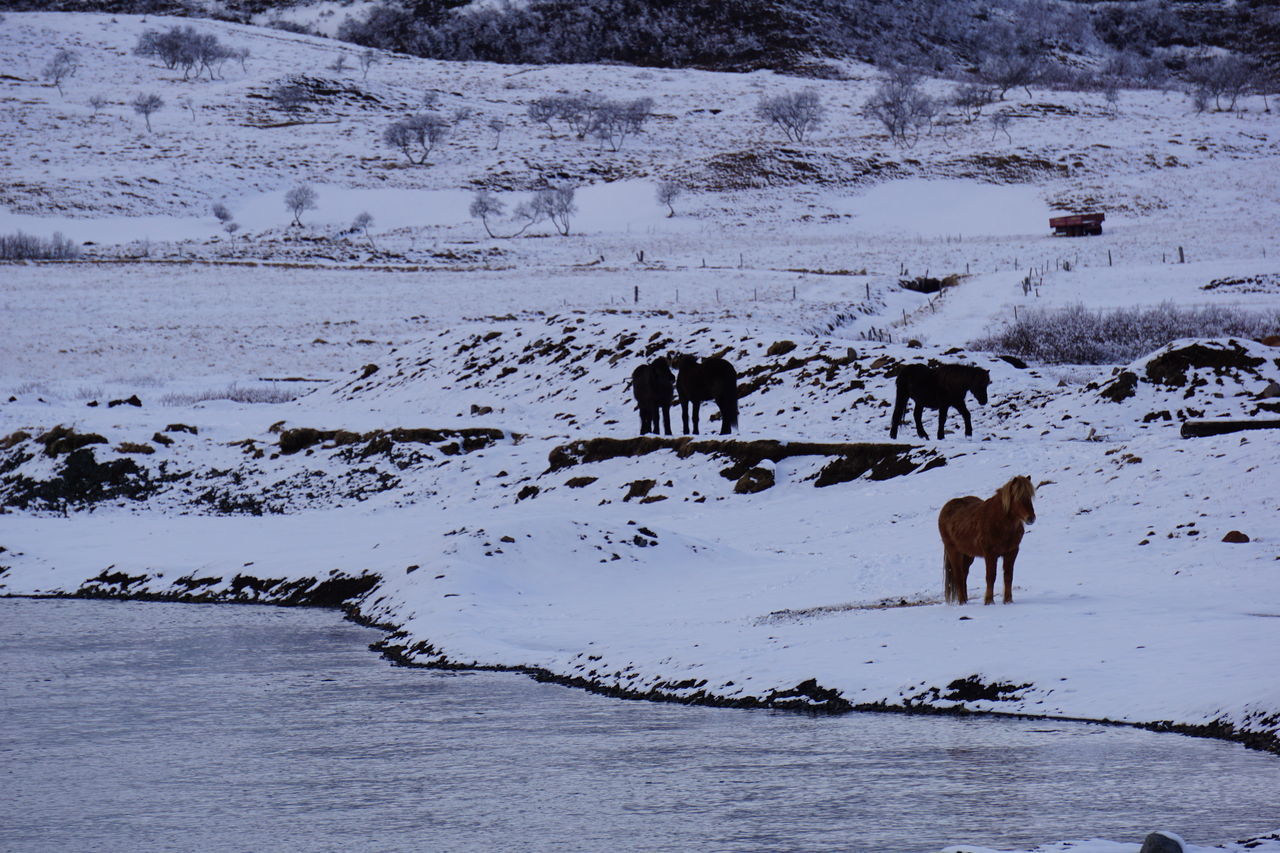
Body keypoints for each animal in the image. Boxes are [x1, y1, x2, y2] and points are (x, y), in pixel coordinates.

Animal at [942, 471, 1039, 604]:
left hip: (968, 554)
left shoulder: (1012, 552)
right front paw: (989, 601)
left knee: (964, 574)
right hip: (953, 551)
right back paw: (962, 602)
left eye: (1030, 496)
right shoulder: (990, 554)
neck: (999, 522)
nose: (1031, 518)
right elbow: (990, 577)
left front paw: (1008, 601)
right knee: (958, 575)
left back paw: (966, 600)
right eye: (1018, 497)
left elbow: (1008, 576)